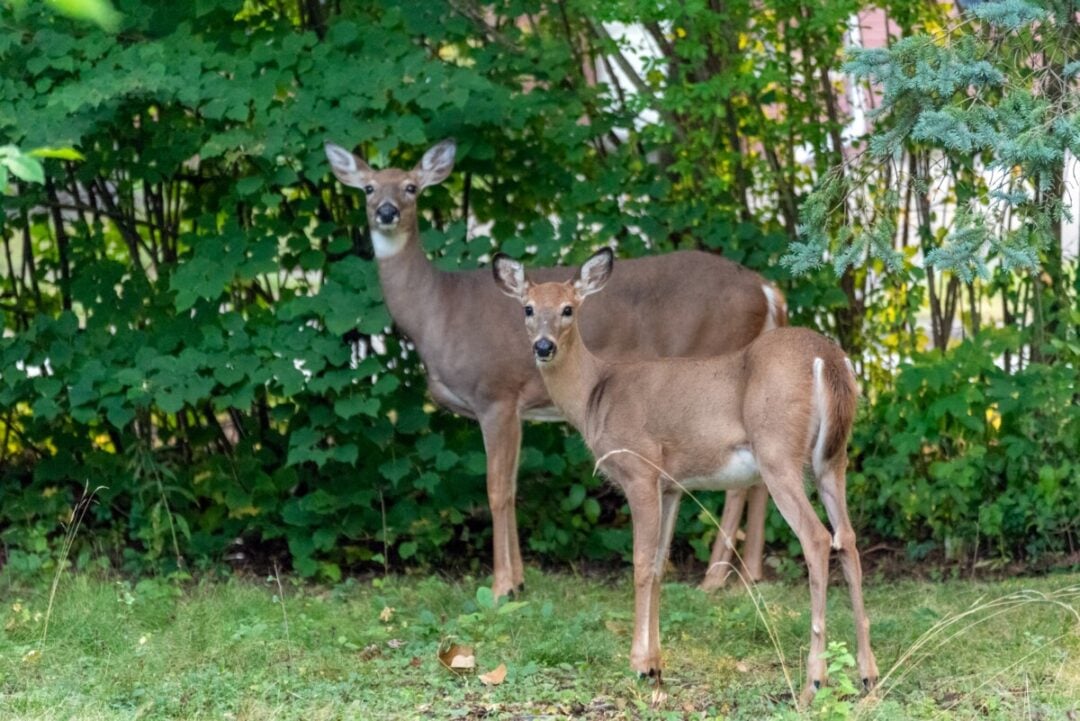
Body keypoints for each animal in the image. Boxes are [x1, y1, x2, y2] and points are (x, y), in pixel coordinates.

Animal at [324, 138, 781, 598]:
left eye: (411, 187)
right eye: (367, 188)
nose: (386, 211)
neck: (435, 312)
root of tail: (766, 289)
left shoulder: (496, 394)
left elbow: (497, 490)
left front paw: (501, 586)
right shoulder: (517, 408)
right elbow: (512, 487)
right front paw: (520, 580)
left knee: (739, 483)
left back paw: (714, 578)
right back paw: (750, 573)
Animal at [492, 248, 878, 705]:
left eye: (569, 309)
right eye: (528, 308)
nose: (543, 346)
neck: (594, 395)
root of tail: (829, 358)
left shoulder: (640, 470)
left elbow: (641, 564)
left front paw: (638, 665)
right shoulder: (672, 486)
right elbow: (660, 566)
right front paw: (657, 663)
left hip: (778, 453)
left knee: (817, 538)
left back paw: (813, 681)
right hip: (833, 460)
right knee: (848, 539)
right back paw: (868, 675)